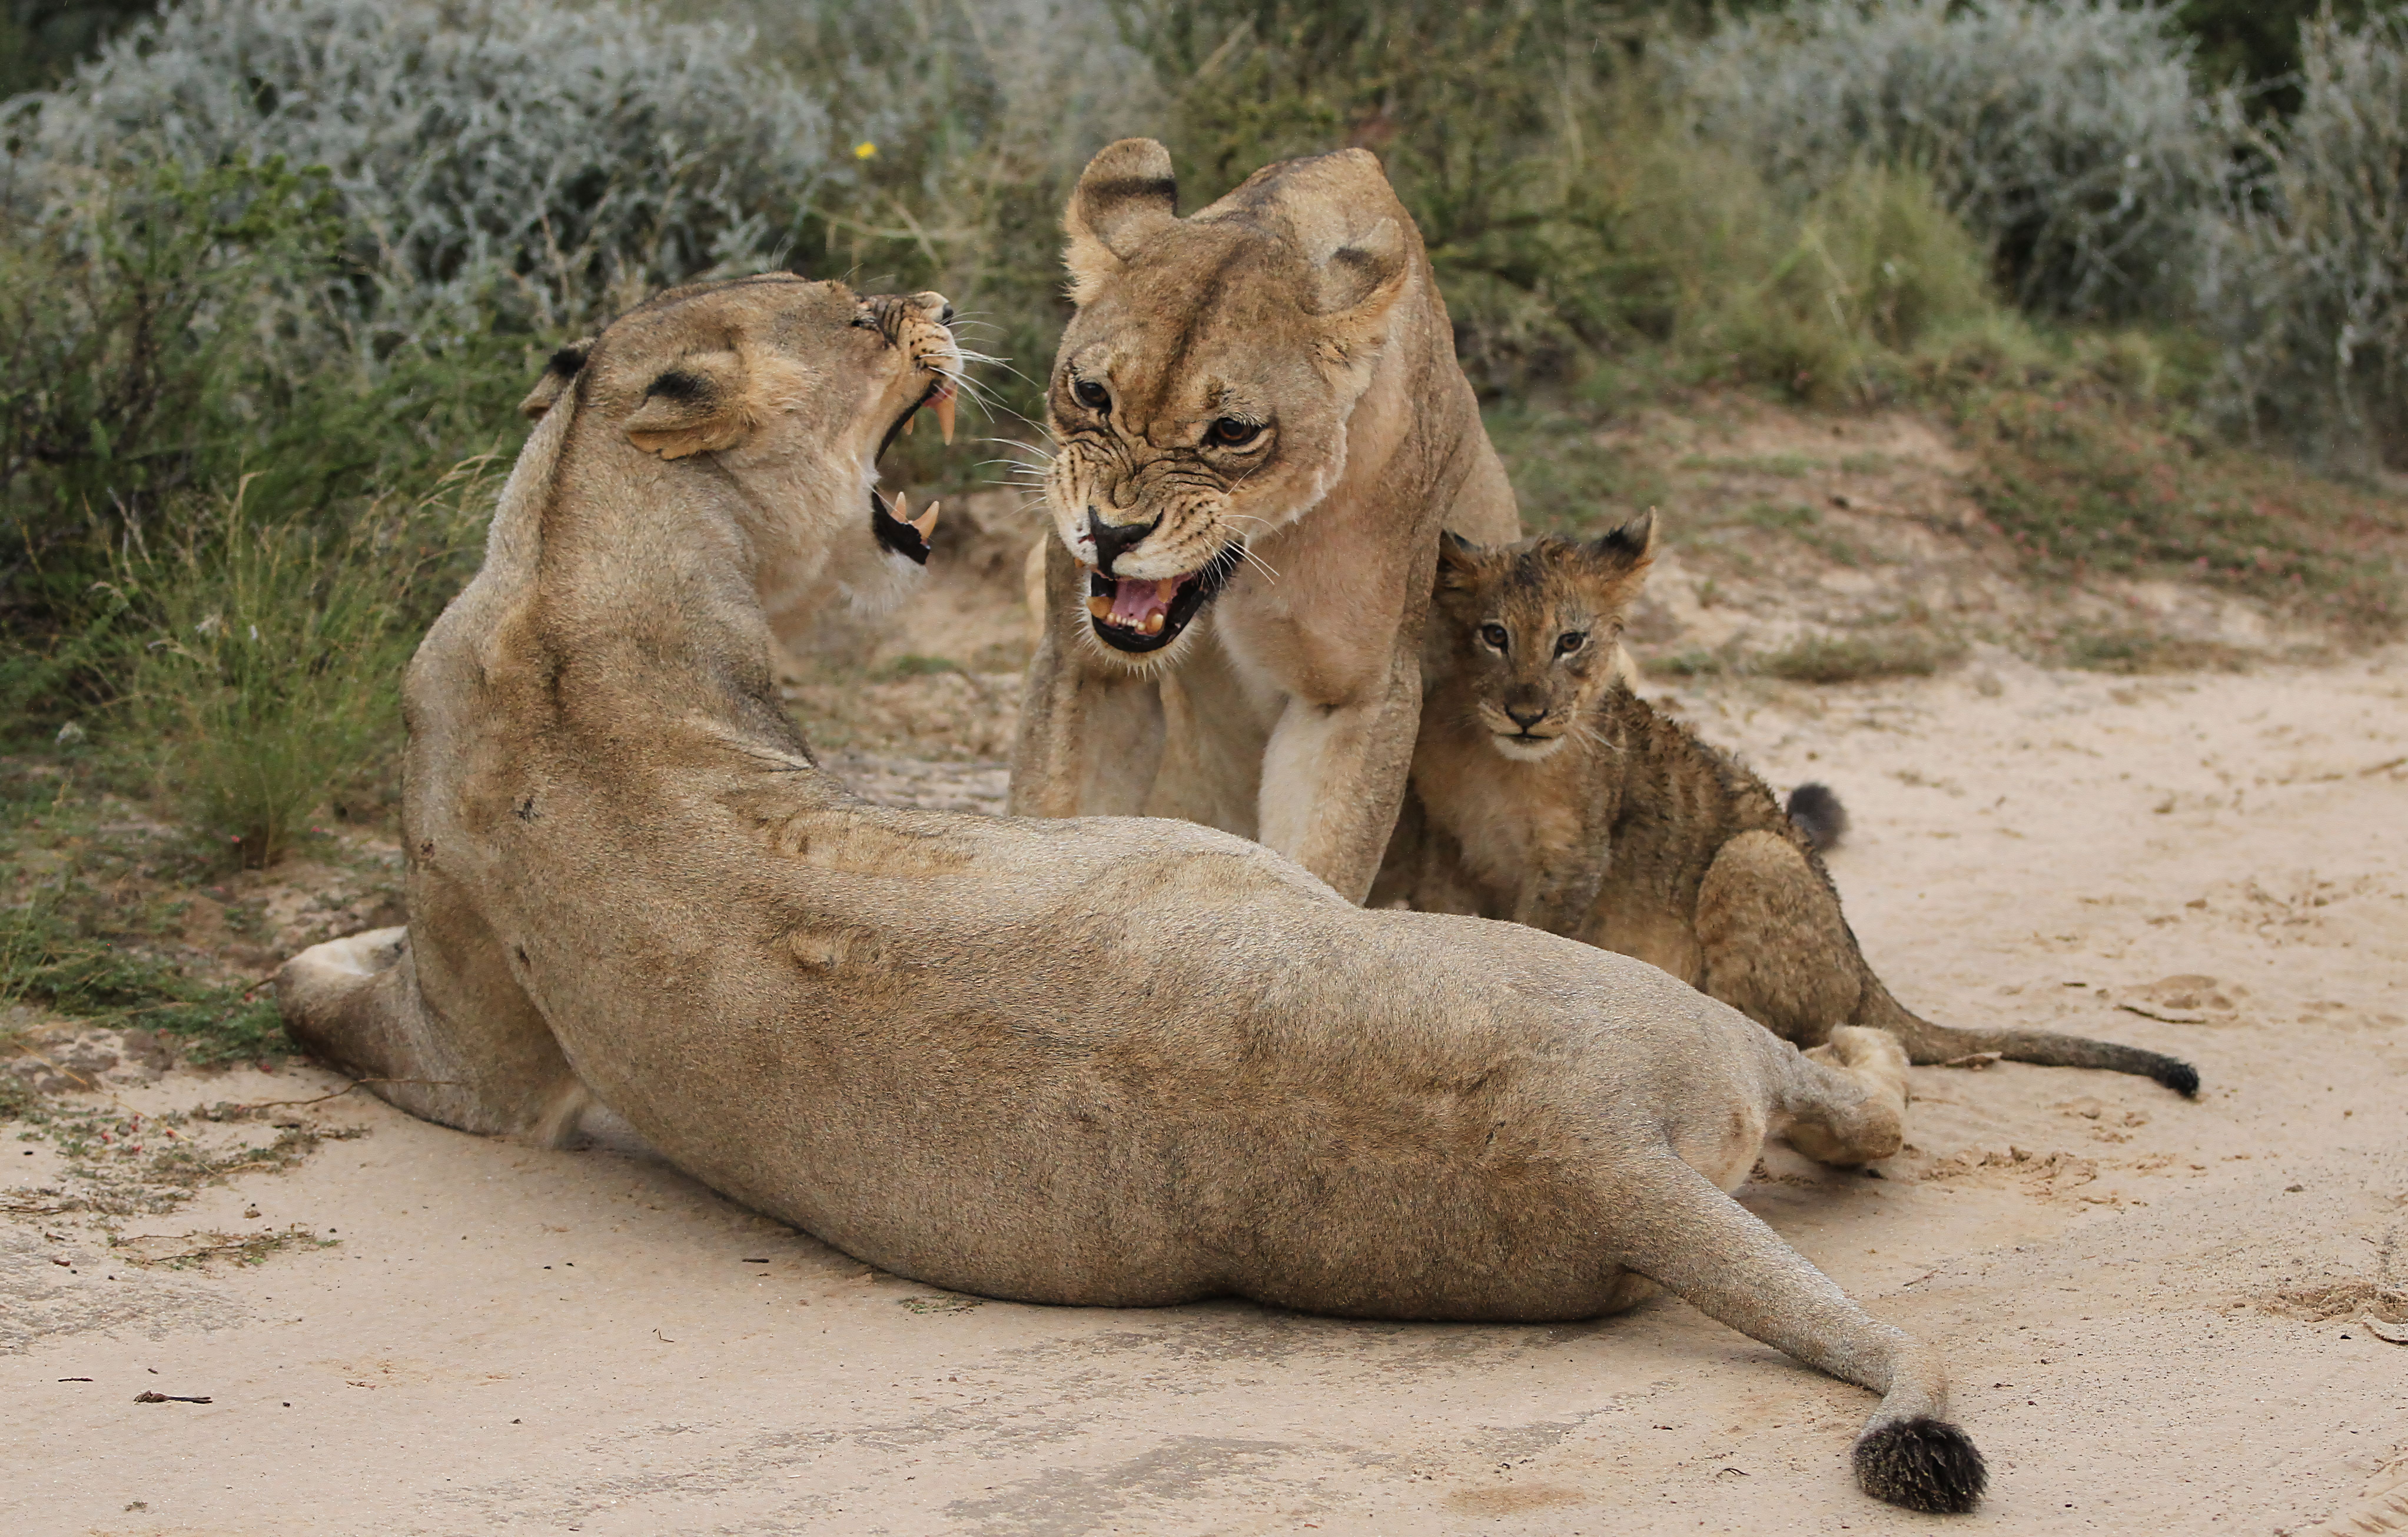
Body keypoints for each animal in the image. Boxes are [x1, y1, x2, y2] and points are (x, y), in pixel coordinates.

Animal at [275, 274, 1985, 1512]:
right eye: (850, 312)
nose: (927, 296)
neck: (571, 555)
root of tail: (1600, 1157)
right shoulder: (490, 1065)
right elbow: (322, 1002)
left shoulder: (494, 1058)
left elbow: (321, 999)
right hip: (1652, 1014)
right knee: (1858, 1104)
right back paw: (1861, 1052)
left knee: (1855, 1104)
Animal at [1007, 139, 1525, 904]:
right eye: (1092, 392)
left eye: (1233, 431)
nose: (1108, 533)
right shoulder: (1084, 665)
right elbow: (1049, 818)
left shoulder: (1354, 697)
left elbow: (1317, 872)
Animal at [1383, 520, 2201, 1096]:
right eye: (1493, 635)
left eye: (1570, 640)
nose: (1527, 714)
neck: (1497, 763)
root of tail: (1862, 968)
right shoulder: (1448, 843)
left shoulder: (1575, 855)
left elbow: (1539, 938)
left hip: (1756, 854)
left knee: (1786, 1029)